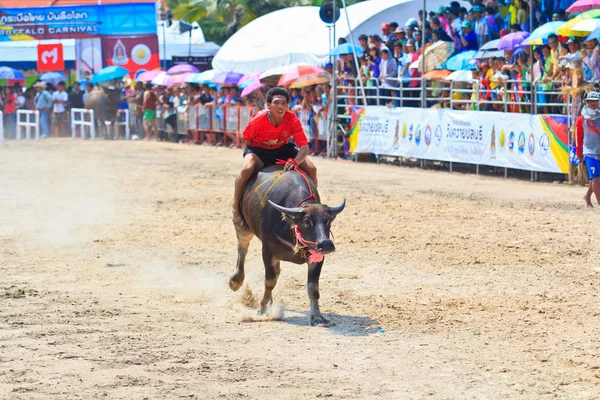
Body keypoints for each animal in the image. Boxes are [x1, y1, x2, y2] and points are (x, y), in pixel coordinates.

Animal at [229, 164, 344, 326]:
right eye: (307, 221)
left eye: (328, 220)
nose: (326, 244)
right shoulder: (267, 251)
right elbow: (269, 281)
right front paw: (263, 310)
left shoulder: (317, 257)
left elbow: (313, 288)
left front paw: (317, 317)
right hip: (243, 226)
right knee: (242, 248)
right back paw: (236, 280)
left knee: (277, 271)